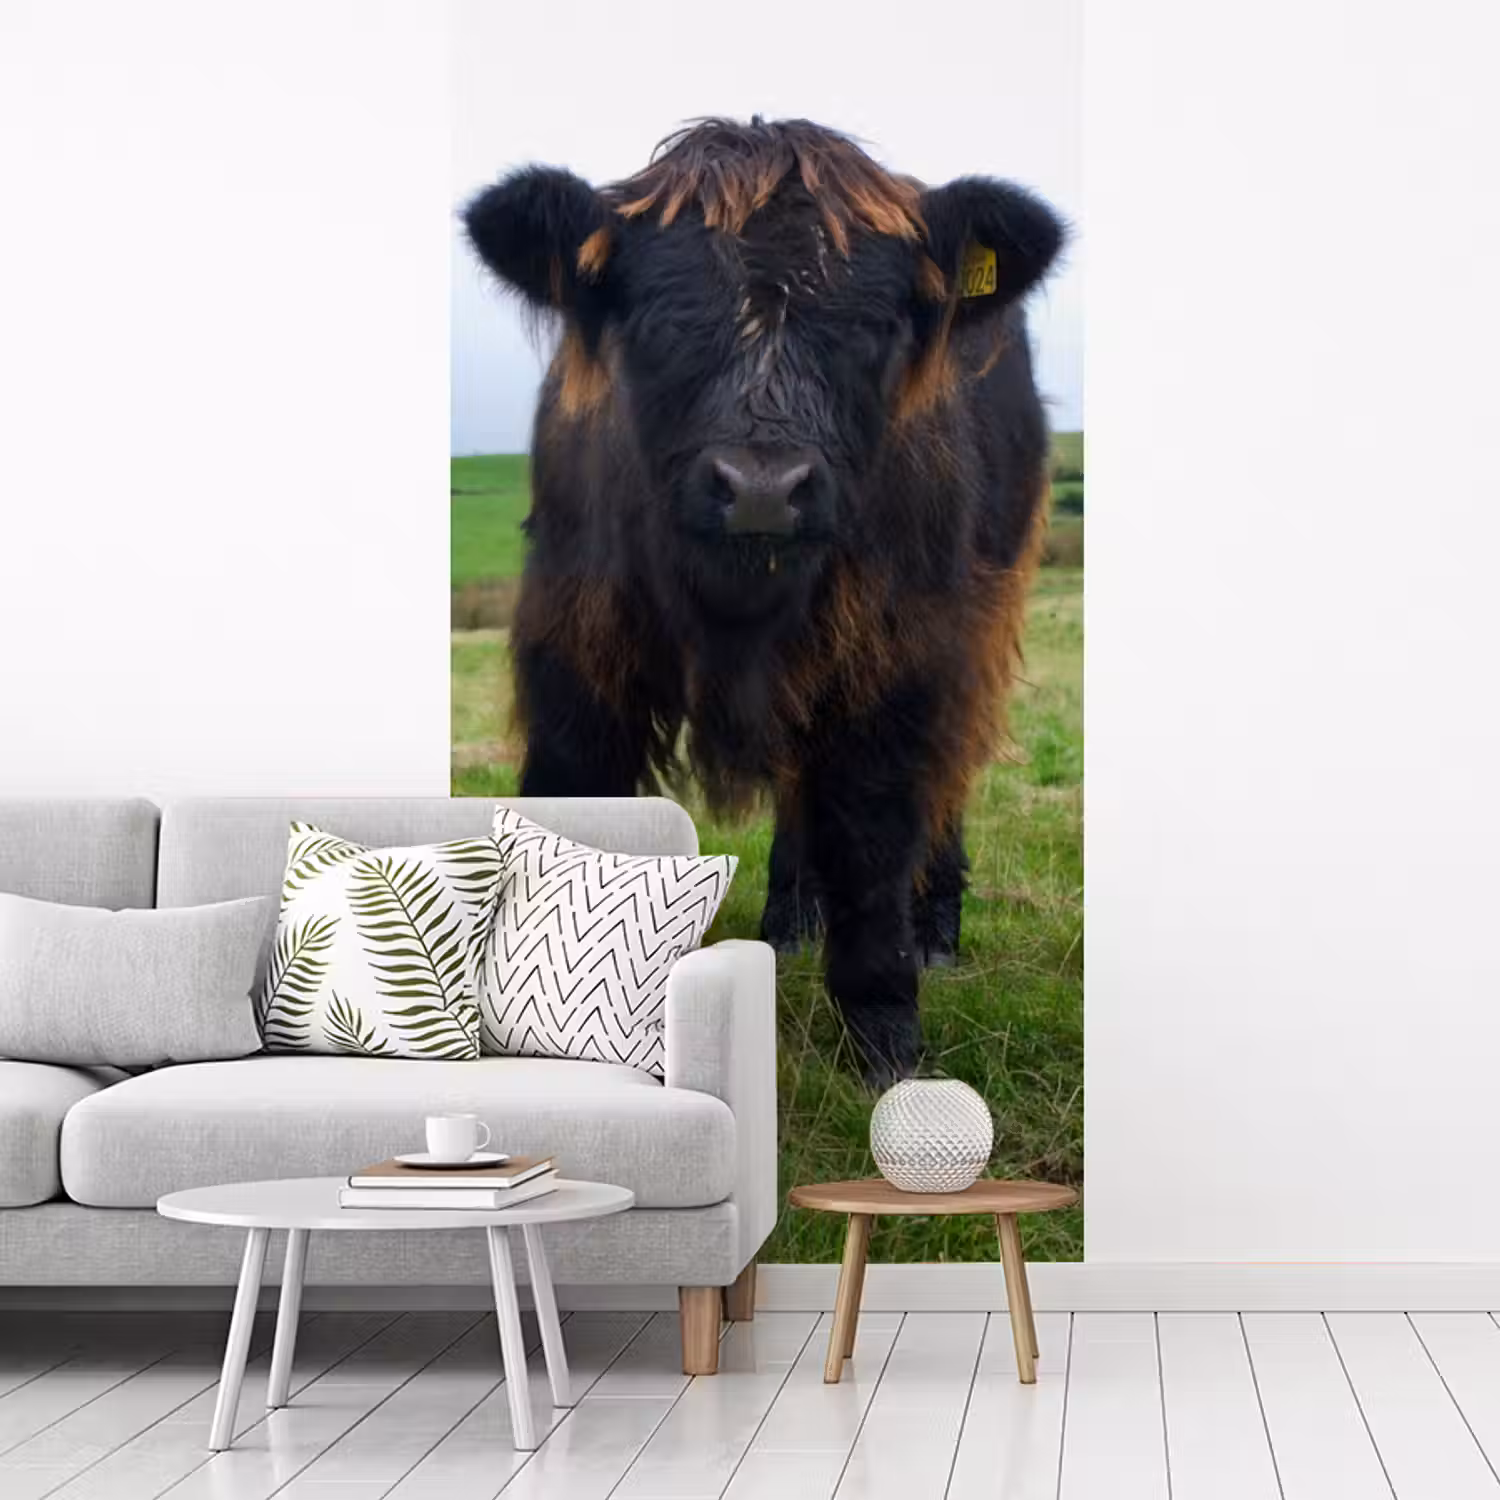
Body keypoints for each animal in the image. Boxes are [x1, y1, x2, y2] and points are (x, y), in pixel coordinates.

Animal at [464, 117, 1065, 1084]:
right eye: (655, 317)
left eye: (877, 325)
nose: (760, 489)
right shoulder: (575, 651)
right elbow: (570, 797)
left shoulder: (904, 658)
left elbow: (873, 835)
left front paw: (888, 1044)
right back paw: (789, 920)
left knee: (947, 778)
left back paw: (935, 928)